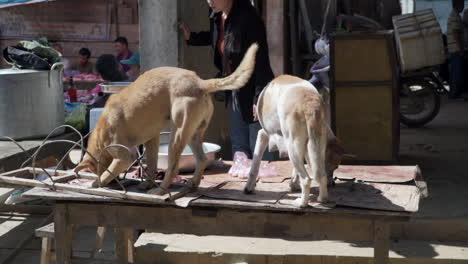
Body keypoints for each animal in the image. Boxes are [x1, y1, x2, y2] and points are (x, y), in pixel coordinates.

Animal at [76, 44, 260, 195]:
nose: (115, 183)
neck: (101, 133)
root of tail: (200, 83)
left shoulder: (124, 157)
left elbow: (108, 171)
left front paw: (97, 182)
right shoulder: (151, 140)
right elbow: (151, 164)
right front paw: (147, 183)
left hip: (177, 135)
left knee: (173, 168)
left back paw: (160, 190)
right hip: (193, 134)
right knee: (201, 160)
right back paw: (192, 184)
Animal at [243, 75, 342, 208]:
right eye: (333, 166)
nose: (332, 184)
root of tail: (309, 105)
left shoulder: (262, 135)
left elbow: (255, 165)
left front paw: (249, 187)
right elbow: (296, 171)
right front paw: (293, 184)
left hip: (292, 146)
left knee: (306, 179)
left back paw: (301, 203)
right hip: (310, 149)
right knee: (320, 175)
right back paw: (322, 199)